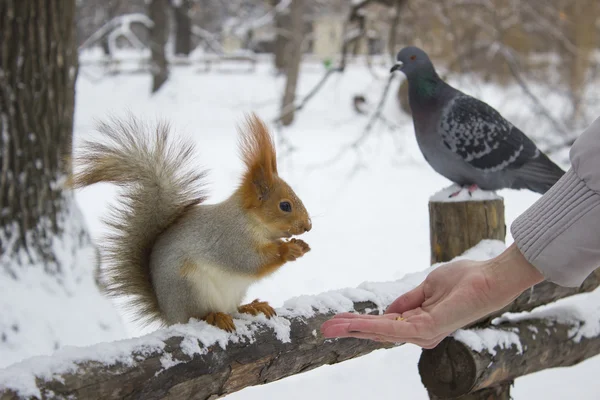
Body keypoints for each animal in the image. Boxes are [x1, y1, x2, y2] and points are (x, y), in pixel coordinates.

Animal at [71, 111, 310, 332]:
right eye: (285, 206)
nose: (308, 226)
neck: (251, 221)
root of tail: (169, 315)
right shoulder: (230, 239)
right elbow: (248, 261)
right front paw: (287, 249)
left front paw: (300, 245)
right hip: (190, 287)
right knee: (196, 315)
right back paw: (215, 316)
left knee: (233, 308)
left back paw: (250, 307)